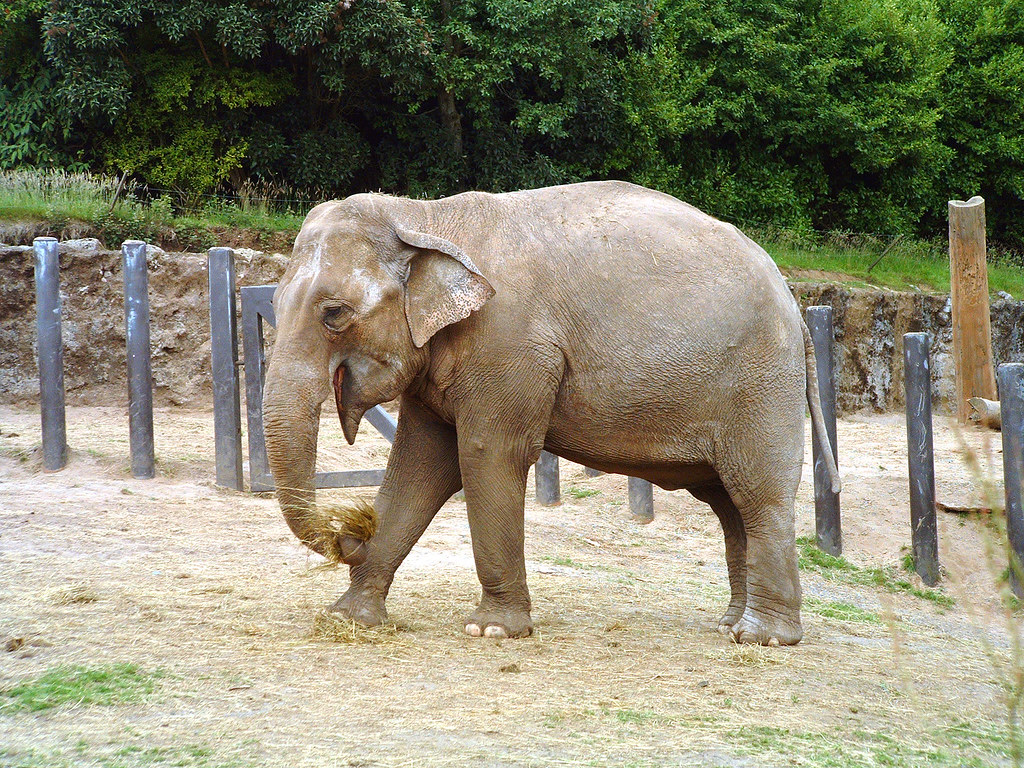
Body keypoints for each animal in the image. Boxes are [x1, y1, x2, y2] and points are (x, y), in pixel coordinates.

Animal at [263, 180, 840, 646]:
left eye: (334, 314)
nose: (351, 529)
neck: (424, 216)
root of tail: (795, 304)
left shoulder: (508, 344)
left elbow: (487, 456)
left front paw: (492, 631)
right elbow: (418, 465)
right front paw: (347, 618)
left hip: (760, 383)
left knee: (758, 495)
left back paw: (762, 638)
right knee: (729, 504)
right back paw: (730, 624)